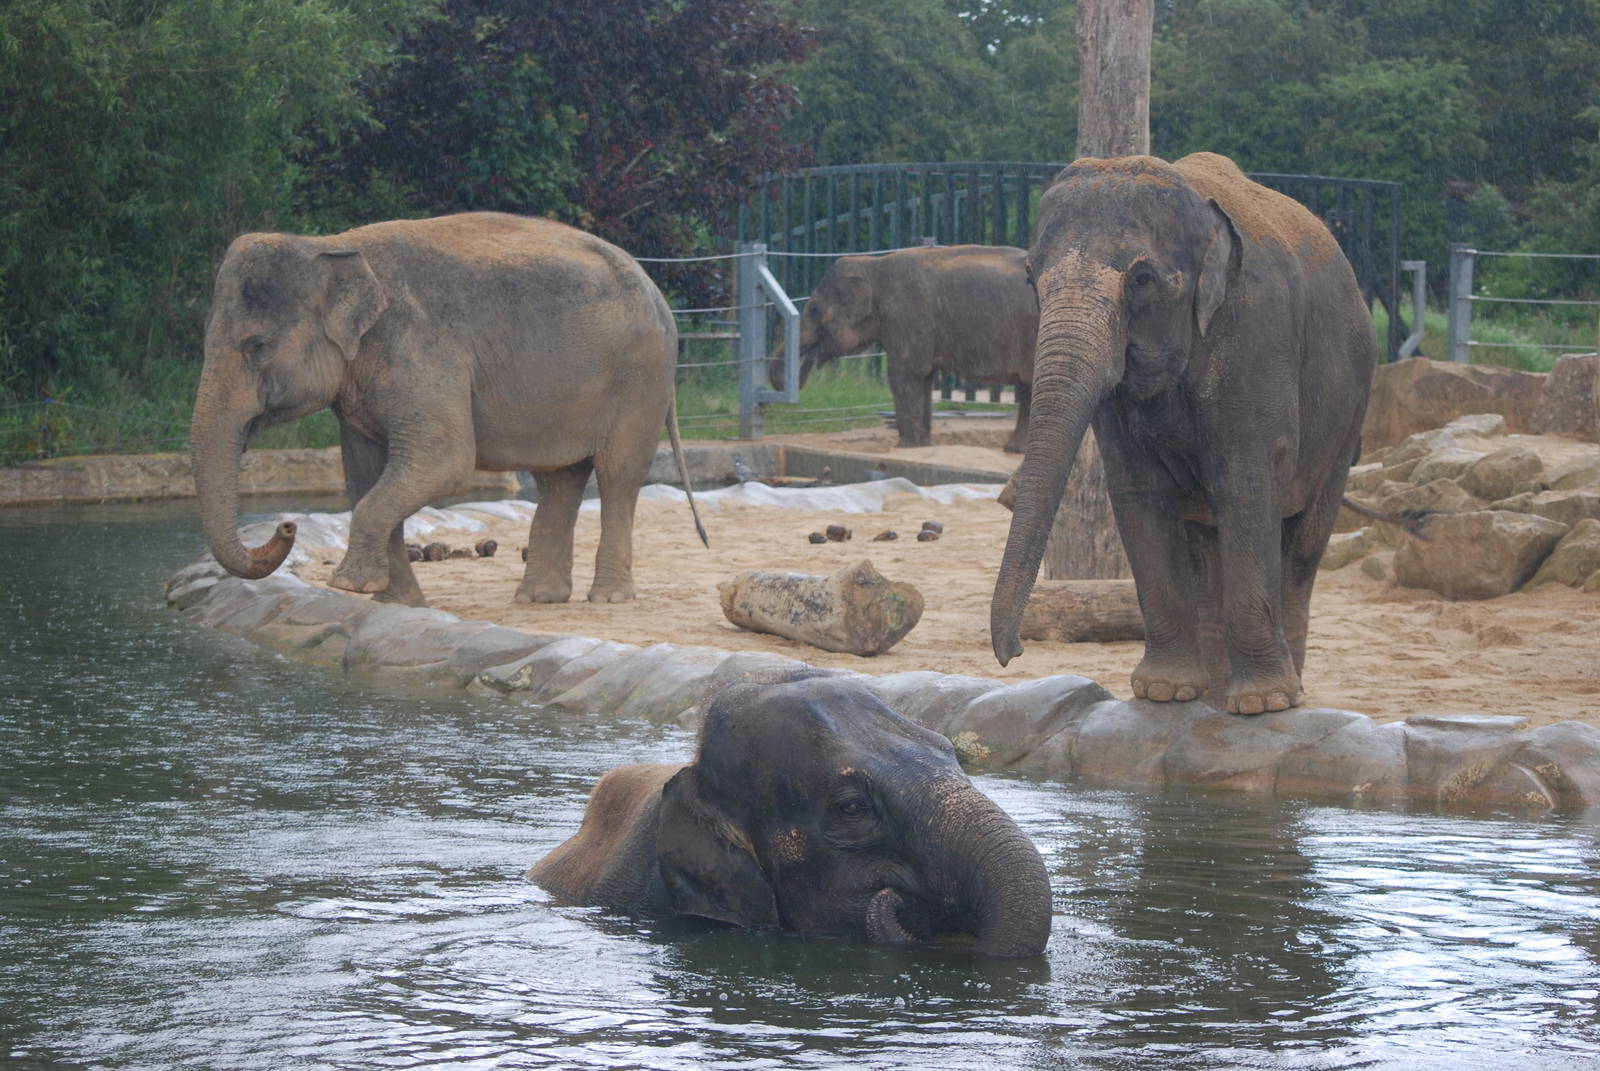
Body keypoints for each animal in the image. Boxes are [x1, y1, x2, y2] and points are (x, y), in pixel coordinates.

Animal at [191, 212, 705, 608]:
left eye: (257, 345)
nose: (287, 524)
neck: (331, 246)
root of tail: (655, 288)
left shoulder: (421, 350)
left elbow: (446, 461)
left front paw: (350, 586)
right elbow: (363, 475)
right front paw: (395, 602)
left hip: (642, 379)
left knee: (618, 475)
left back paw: (608, 599)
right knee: (558, 478)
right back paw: (537, 599)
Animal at [768, 245, 1038, 453]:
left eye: (814, 310)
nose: (811, 357)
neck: (872, 266)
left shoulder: (906, 316)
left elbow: (903, 375)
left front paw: (906, 446)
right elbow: (924, 377)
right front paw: (923, 445)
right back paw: (1014, 449)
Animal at [990, 153, 1377, 716]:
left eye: (1142, 279)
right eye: (1029, 277)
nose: (1014, 653)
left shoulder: (1254, 339)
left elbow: (1245, 485)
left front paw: (1260, 704)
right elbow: (1138, 495)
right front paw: (1164, 694)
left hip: (1349, 417)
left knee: (1305, 541)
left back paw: (1285, 694)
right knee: (1205, 546)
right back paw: (1212, 693)